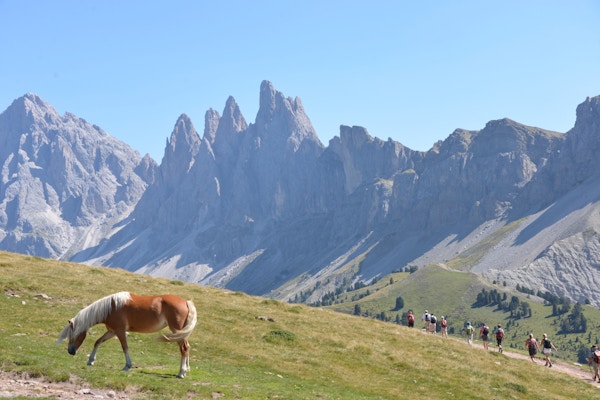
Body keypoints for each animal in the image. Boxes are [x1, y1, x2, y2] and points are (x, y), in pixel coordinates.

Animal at [56, 290, 198, 378]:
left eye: (72, 335)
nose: (70, 351)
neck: (111, 307)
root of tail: (186, 302)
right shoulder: (112, 331)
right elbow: (98, 342)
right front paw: (91, 360)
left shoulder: (120, 331)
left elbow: (125, 347)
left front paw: (127, 366)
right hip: (181, 333)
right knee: (187, 348)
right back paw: (186, 370)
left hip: (176, 331)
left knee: (184, 348)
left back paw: (181, 373)